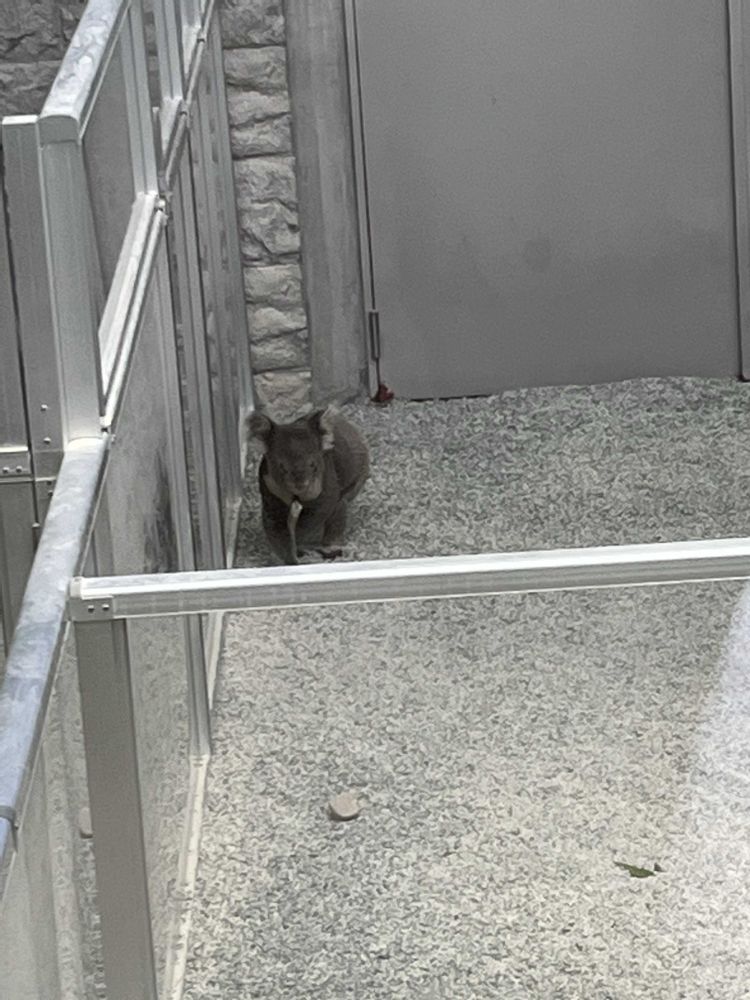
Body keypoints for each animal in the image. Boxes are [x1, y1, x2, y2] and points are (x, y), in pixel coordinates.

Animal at [247, 407, 369, 565]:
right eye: (282, 468)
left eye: (313, 465)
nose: (300, 484)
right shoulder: (271, 491)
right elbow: (277, 526)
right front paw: (291, 558)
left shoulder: (324, 490)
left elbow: (313, 516)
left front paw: (299, 546)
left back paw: (331, 550)